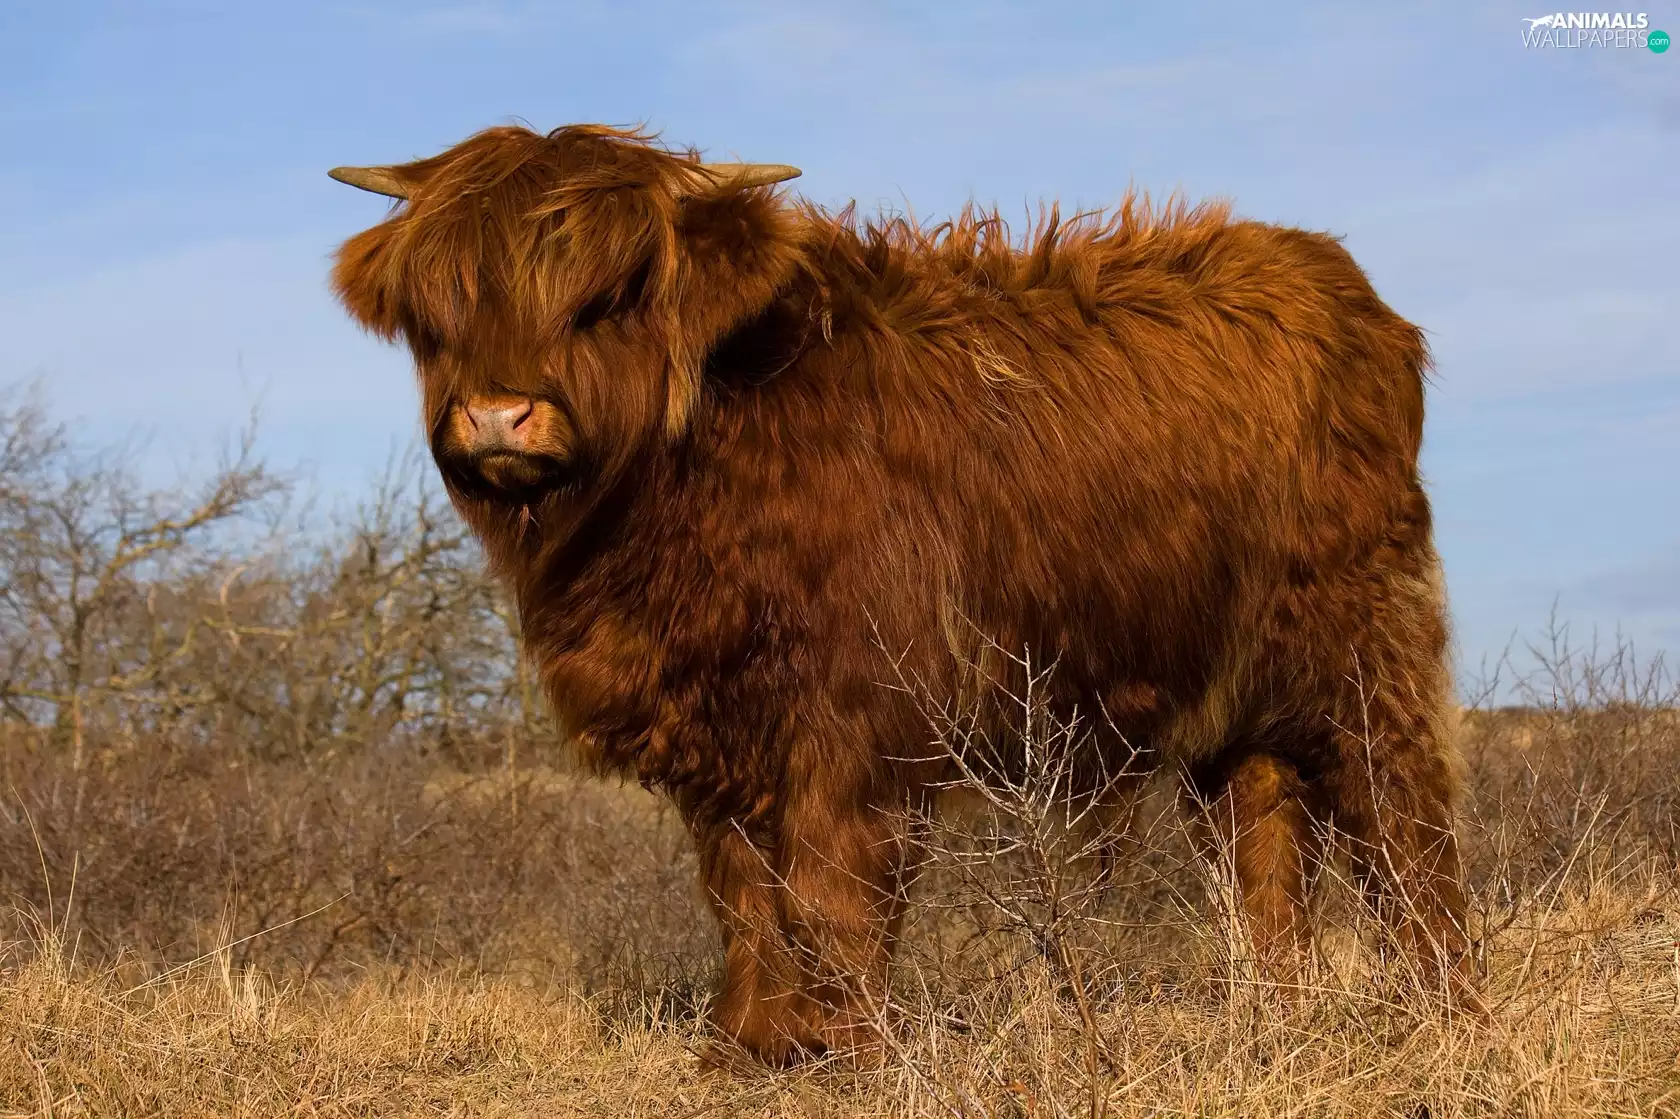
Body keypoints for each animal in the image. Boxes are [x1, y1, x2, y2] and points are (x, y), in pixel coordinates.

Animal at [328, 124, 1478, 1067]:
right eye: (440, 310)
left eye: (607, 299)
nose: (498, 417)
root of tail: (1326, 275)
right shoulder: (717, 726)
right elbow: (743, 890)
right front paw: (751, 1045)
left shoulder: (855, 718)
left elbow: (833, 886)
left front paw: (854, 1047)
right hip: (1236, 693)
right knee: (1263, 835)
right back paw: (1277, 1014)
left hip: (1365, 641)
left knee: (1400, 815)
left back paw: (1440, 1007)